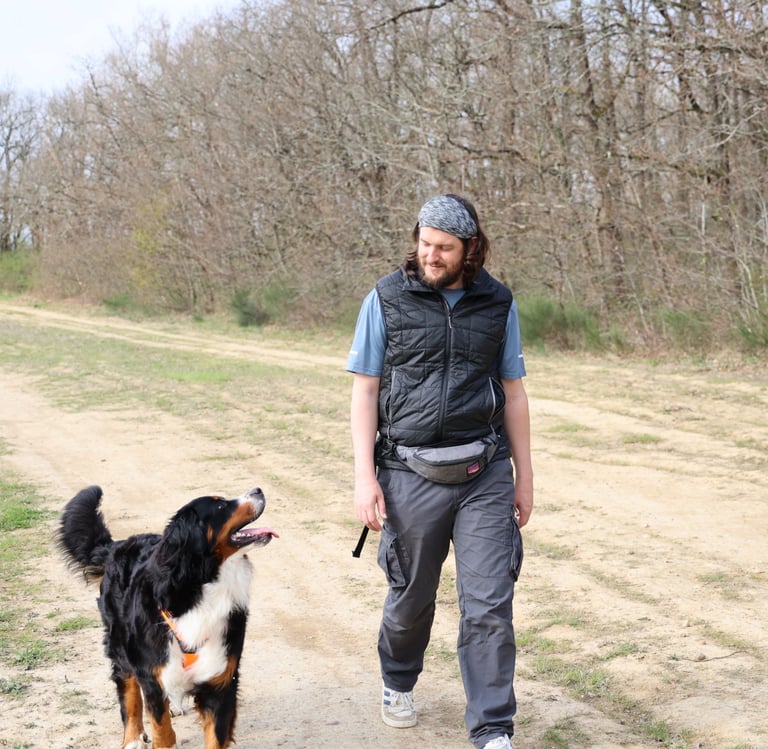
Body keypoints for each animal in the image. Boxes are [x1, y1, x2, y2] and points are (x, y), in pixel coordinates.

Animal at [58, 485, 277, 749]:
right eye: (220, 505)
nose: (258, 489)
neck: (203, 588)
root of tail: (117, 546)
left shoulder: (221, 680)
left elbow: (215, 736)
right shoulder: (152, 676)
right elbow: (161, 728)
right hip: (119, 643)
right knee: (128, 691)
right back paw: (132, 738)